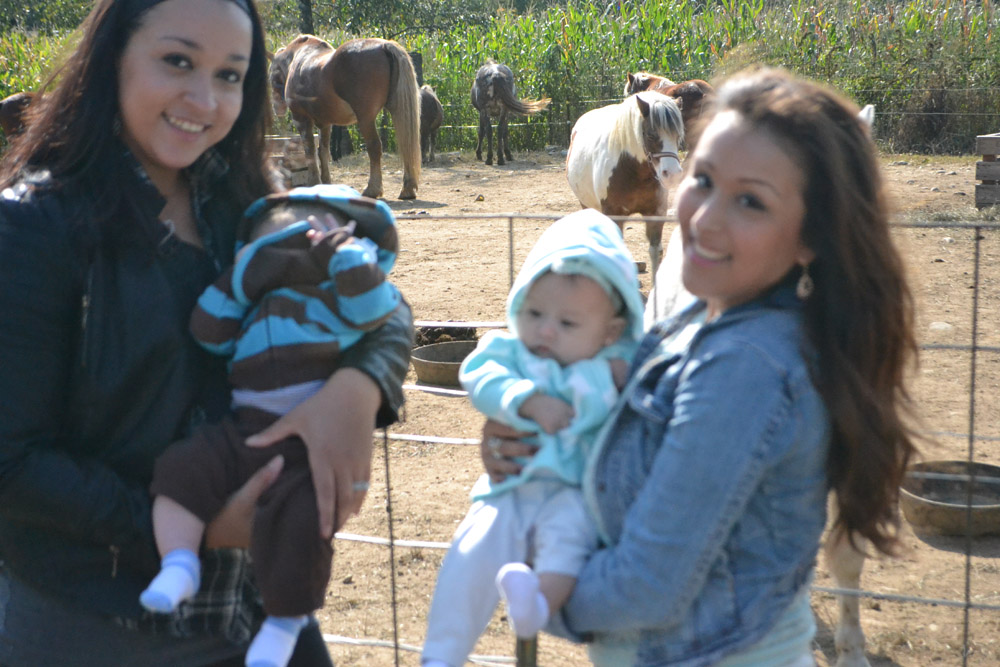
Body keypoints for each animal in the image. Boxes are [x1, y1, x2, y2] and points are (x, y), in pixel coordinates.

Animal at [269, 34, 421, 200]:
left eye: (271, 76)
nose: (277, 109)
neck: (300, 57)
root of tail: (384, 45)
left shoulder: (302, 119)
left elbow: (310, 151)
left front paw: (313, 182)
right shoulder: (325, 124)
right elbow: (323, 152)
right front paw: (325, 183)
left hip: (366, 119)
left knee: (374, 147)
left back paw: (372, 189)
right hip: (396, 109)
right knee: (405, 142)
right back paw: (407, 189)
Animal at [565, 91, 684, 280]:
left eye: (678, 136)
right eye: (651, 135)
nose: (672, 174)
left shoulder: (656, 213)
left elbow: (655, 251)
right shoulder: (614, 213)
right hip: (587, 204)